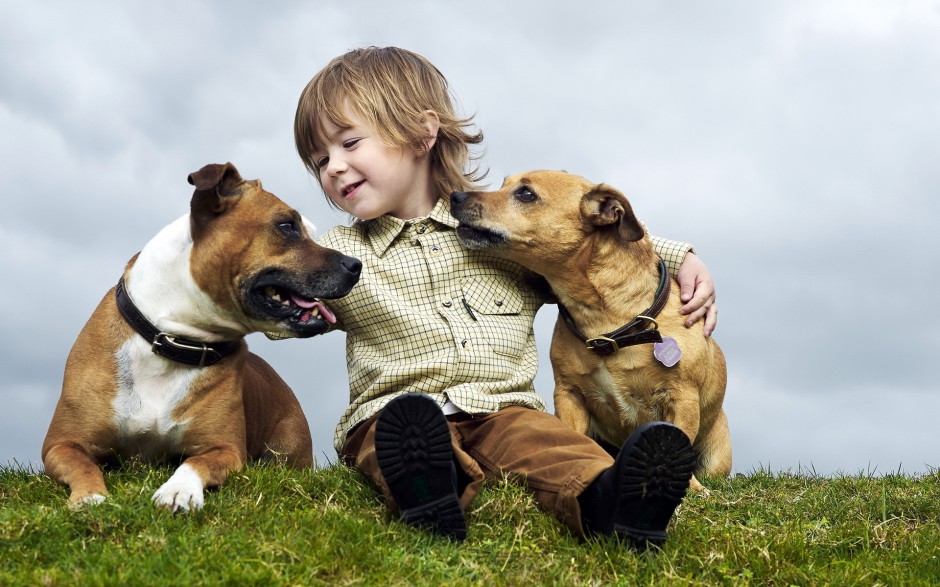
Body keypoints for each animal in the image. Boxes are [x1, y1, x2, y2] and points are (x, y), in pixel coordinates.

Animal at [43, 163, 360, 512]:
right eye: (287, 226)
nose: (355, 264)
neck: (173, 340)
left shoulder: (223, 448)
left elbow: (193, 463)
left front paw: (178, 490)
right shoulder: (61, 444)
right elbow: (82, 464)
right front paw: (90, 497)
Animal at [452, 171, 732, 492]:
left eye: (526, 194)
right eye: (504, 184)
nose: (455, 196)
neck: (605, 321)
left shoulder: (681, 397)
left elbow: (680, 442)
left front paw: (692, 489)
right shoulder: (569, 394)